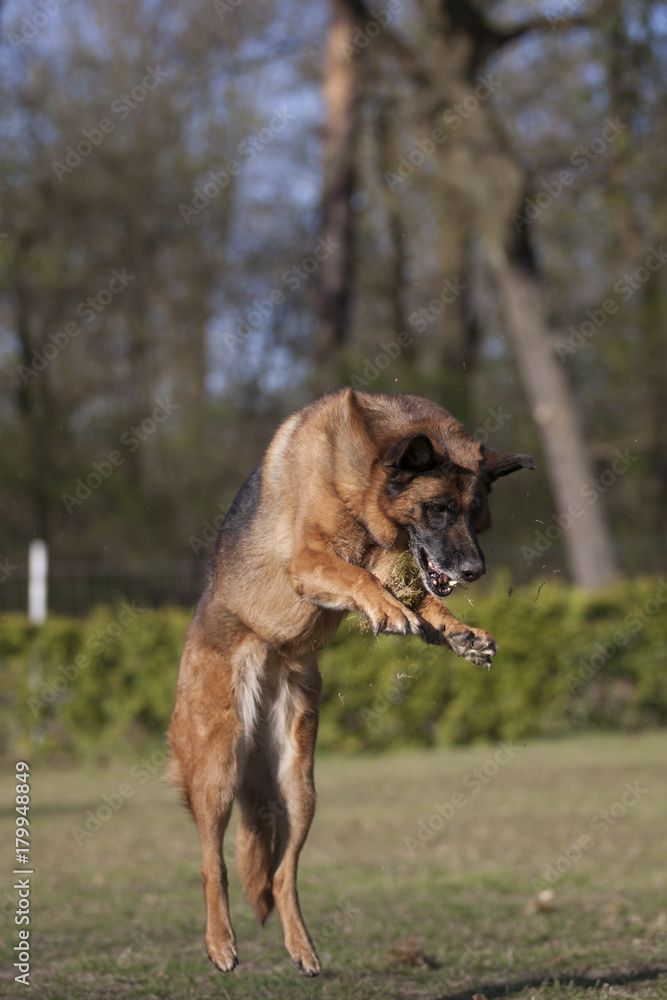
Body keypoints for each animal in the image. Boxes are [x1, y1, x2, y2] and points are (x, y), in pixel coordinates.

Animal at [170, 388, 536, 976]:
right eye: (438, 509)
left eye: (476, 515)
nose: (475, 571)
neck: (361, 476)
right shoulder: (309, 561)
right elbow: (359, 577)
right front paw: (389, 612)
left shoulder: (394, 560)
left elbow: (416, 594)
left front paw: (459, 633)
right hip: (217, 773)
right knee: (212, 863)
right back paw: (220, 943)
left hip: (299, 789)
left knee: (282, 873)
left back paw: (302, 949)